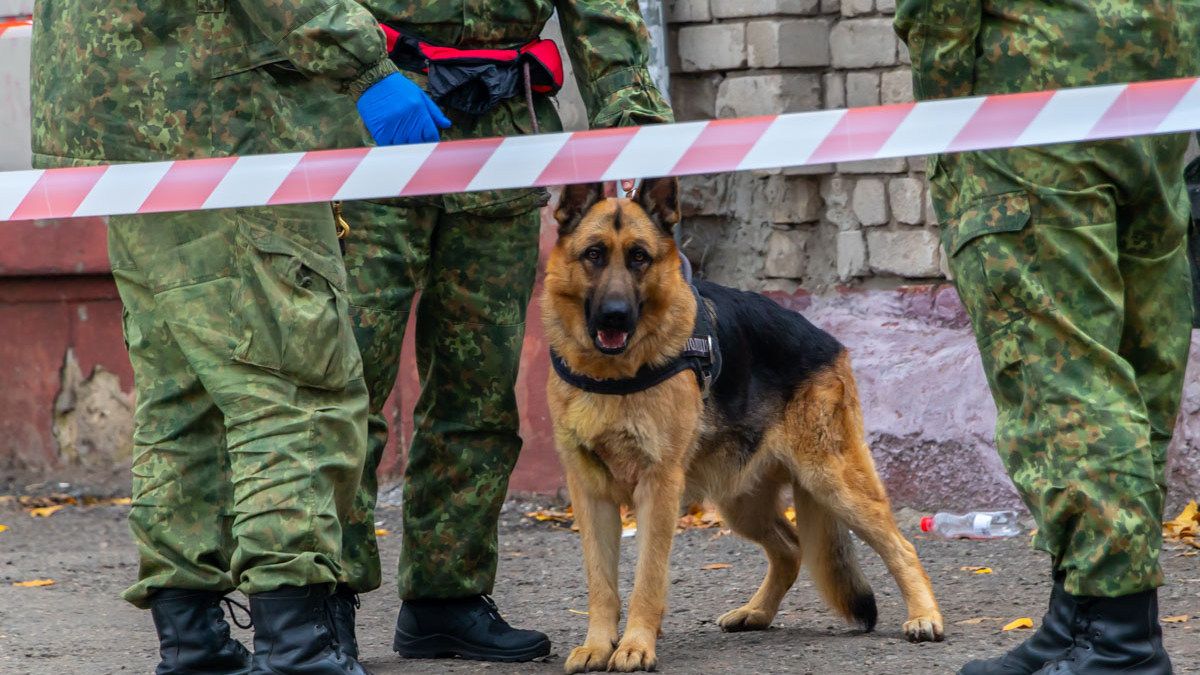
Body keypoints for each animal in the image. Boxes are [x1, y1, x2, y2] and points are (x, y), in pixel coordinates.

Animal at [544, 176, 945, 667]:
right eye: (594, 254)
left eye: (639, 257)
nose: (615, 315)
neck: (611, 376)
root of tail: (827, 340)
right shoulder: (590, 495)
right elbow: (601, 584)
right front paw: (599, 645)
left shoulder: (658, 489)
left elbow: (647, 579)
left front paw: (637, 644)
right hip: (741, 502)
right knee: (791, 548)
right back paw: (756, 612)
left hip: (832, 482)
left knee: (900, 545)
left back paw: (924, 616)